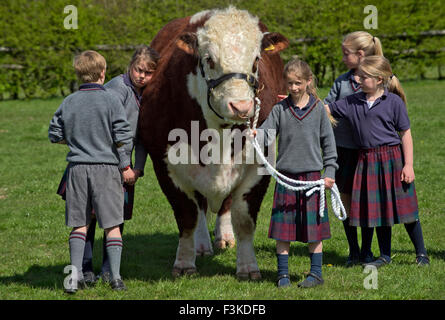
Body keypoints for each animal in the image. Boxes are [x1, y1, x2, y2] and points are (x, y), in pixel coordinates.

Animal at [139, 6, 288, 278]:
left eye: (256, 61)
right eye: (209, 59)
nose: (241, 106)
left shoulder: (259, 164)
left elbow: (244, 219)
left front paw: (248, 267)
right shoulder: (166, 165)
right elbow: (187, 215)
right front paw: (184, 263)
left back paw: (225, 238)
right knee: (199, 207)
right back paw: (201, 245)